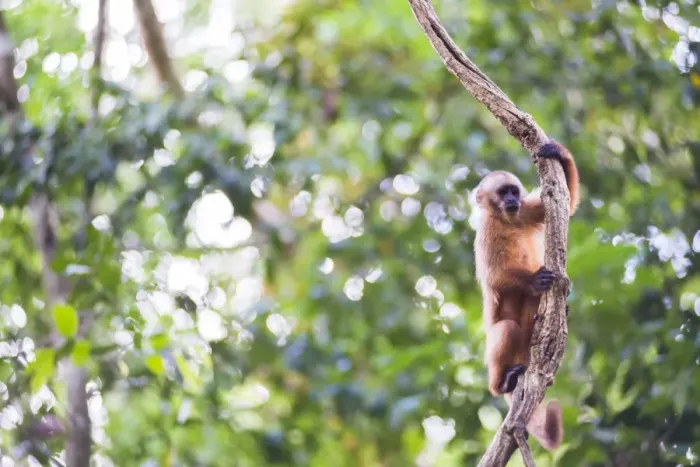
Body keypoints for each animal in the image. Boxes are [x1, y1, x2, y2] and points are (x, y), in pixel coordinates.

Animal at [472, 140, 580, 450]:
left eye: (513, 191)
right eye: (502, 192)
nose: (511, 200)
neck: (506, 219)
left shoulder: (524, 211)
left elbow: (566, 204)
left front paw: (558, 153)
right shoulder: (486, 231)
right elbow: (495, 276)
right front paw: (533, 279)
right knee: (508, 328)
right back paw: (501, 384)